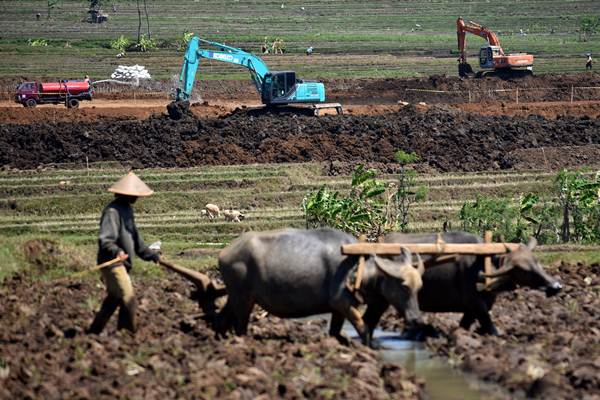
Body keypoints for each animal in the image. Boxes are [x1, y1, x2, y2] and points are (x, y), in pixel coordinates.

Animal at [214, 228, 422, 346]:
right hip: (243, 299)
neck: (356, 266)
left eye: (419, 288)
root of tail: (225, 252)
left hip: (235, 297)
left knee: (222, 319)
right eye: (404, 287)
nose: (416, 319)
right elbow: (363, 329)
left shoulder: (339, 309)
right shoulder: (342, 302)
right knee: (240, 326)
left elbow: (336, 332)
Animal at [382, 230, 560, 336]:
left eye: (537, 262)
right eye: (522, 270)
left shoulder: (473, 308)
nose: (556, 286)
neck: (484, 262)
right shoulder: (476, 304)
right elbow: (491, 328)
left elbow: (464, 325)